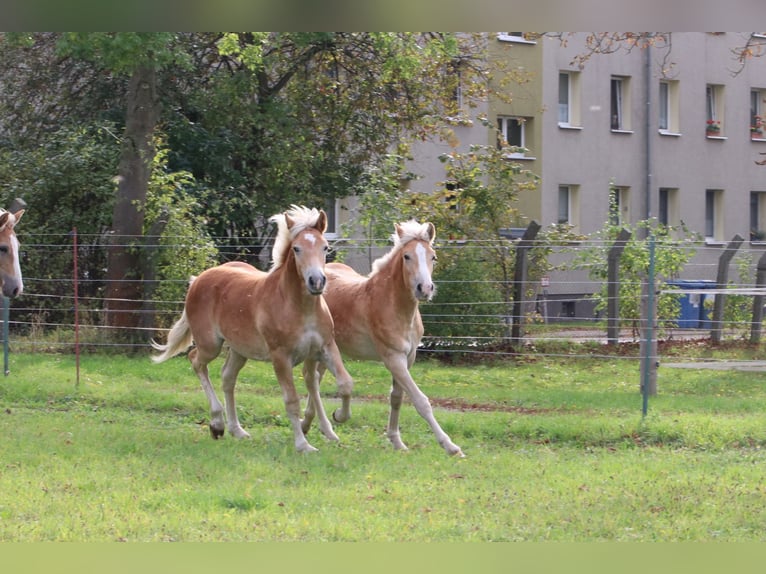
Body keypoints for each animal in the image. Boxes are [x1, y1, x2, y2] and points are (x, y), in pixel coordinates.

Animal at [152, 207, 356, 454]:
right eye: (296, 248)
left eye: (325, 247)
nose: (316, 281)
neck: (300, 308)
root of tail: (198, 279)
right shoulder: (281, 357)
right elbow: (291, 400)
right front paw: (303, 445)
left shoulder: (325, 347)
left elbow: (345, 384)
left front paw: (338, 418)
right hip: (210, 344)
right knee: (196, 361)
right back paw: (217, 424)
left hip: (239, 350)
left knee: (227, 377)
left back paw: (236, 430)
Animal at [304, 220, 464, 460]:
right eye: (407, 256)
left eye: (433, 256)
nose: (425, 289)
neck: (394, 306)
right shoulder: (392, 358)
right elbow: (420, 400)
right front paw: (451, 446)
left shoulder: (408, 357)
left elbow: (396, 397)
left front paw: (397, 442)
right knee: (311, 379)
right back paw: (326, 422)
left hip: (327, 350)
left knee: (316, 378)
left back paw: (311, 425)